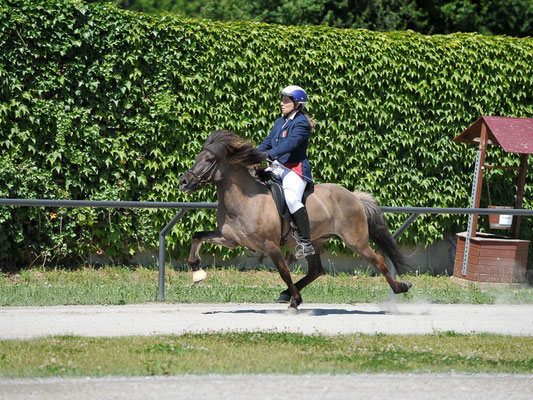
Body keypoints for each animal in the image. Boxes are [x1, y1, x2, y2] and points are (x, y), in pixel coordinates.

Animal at [178, 130, 412, 310]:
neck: (245, 200)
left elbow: (284, 271)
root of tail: (354, 196)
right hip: (316, 241)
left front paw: (296, 302)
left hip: (356, 240)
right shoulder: (230, 240)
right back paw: (285, 294)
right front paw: (196, 270)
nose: (183, 182)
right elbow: (198, 236)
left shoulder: (270, 245)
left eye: (209, 160)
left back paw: (400, 287)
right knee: (316, 270)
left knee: (378, 261)